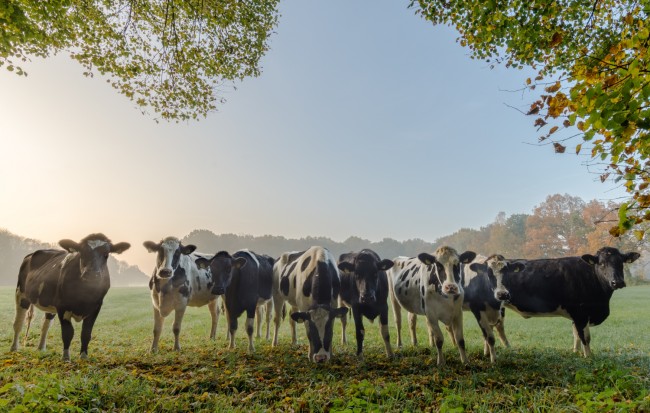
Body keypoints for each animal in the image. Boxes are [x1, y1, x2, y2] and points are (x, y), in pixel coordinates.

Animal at [498, 246, 636, 356]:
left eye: (621, 262)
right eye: (601, 263)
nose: (617, 282)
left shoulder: (577, 315)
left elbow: (576, 335)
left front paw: (576, 353)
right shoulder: (581, 313)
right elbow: (585, 337)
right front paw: (589, 357)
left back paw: (507, 347)